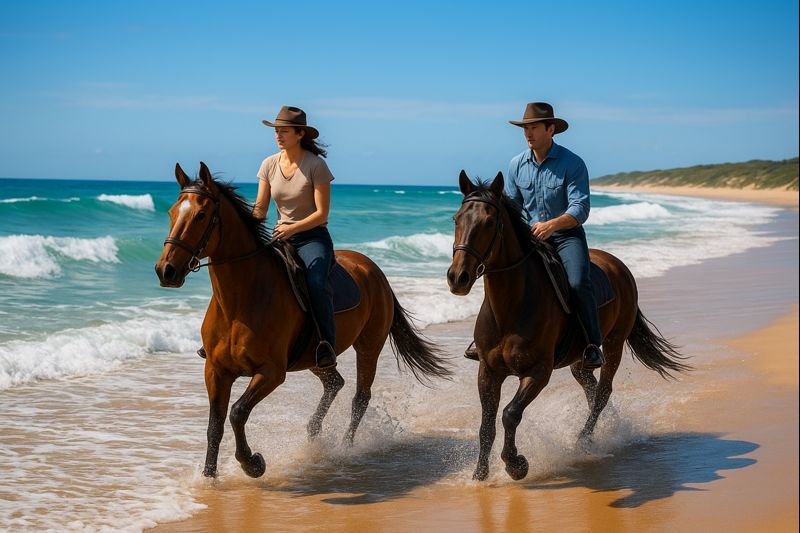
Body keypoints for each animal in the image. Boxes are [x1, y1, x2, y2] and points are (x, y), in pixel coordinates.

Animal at [154, 162, 451, 478]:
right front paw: (210, 478)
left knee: (360, 397)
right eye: (172, 212)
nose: (166, 271)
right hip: (314, 357)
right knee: (334, 383)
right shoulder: (215, 370)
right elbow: (215, 425)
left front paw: (253, 463)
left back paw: (346, 447)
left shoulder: (271, 372)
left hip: (368, 348)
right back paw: (314, 431)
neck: (240, 302)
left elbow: (237, 413)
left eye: (200, 215)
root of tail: (373, 269)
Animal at [447, 171, 689, 481]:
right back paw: (606, 429)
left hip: (614, 344)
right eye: (456, 219)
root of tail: (619, 266)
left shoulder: (538, 372)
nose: (458, 278)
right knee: (591, 387)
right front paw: (480, 475)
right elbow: (486, 426)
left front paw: (516, 465)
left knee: (602, 393)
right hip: (579, 360)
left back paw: (584, 440)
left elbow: (510, 414)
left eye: (489, 222)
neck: (511, 308)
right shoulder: (488, 372)